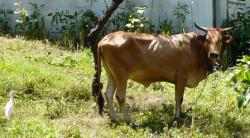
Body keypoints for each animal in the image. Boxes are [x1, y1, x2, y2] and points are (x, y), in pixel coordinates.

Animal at [94, 22, 232, 124]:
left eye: (220, 40)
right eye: (207, 39)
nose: (213, 54)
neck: (196, 48)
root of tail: (107, 37)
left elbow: (177, 98)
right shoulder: (181, 77)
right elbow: (179, 98)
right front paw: (178, 117)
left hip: (111, 75)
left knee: (108, 93)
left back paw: (114, 118)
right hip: (121, 75)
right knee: (120, 96)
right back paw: (129, 121)